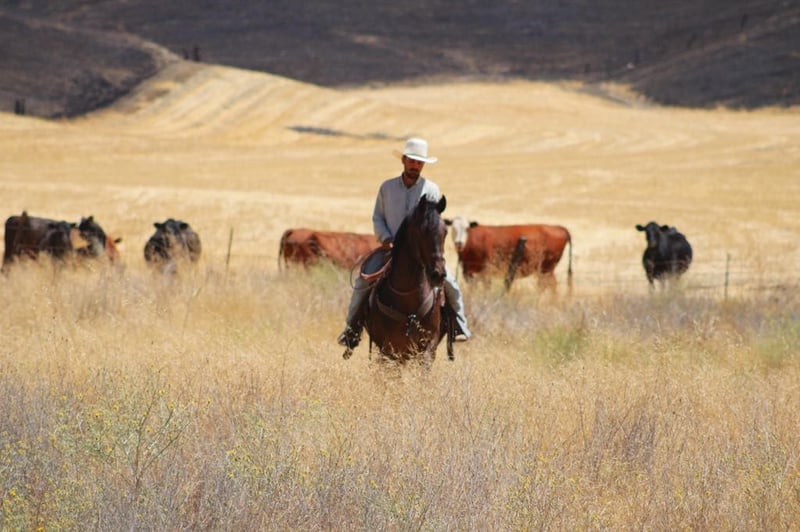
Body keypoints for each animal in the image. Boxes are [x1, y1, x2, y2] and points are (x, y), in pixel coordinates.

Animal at [444, 216, 573, 291]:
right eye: (453, 228)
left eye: (467, 229)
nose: (459, 243)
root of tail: (559, 228)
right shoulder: (468, 271)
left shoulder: (486, 270)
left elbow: (486, 287)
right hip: (544, 269)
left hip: (547, 268)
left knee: (551, 285)